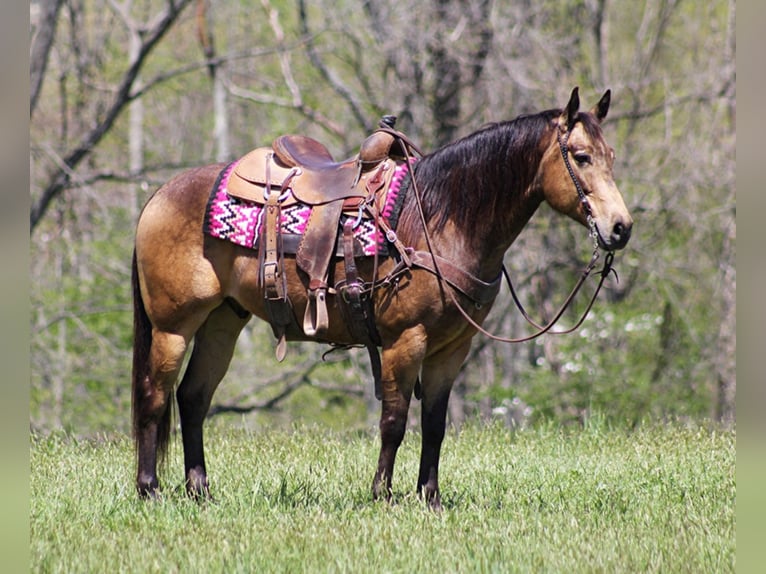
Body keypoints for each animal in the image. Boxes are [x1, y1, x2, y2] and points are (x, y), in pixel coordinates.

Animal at [132, 88, 636, 510]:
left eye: (611, 156)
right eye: (581, 156)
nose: (620, 228)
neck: (438, 218)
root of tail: (160, 194)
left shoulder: (452, 349)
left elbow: (434, 425)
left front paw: (430, 499)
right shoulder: (404, 341)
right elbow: (394, 421)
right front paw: (382, 495)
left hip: (223, 320)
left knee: (193, 397)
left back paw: (200, 491)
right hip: (173, 326)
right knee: (156, 396)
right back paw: (149, 489)